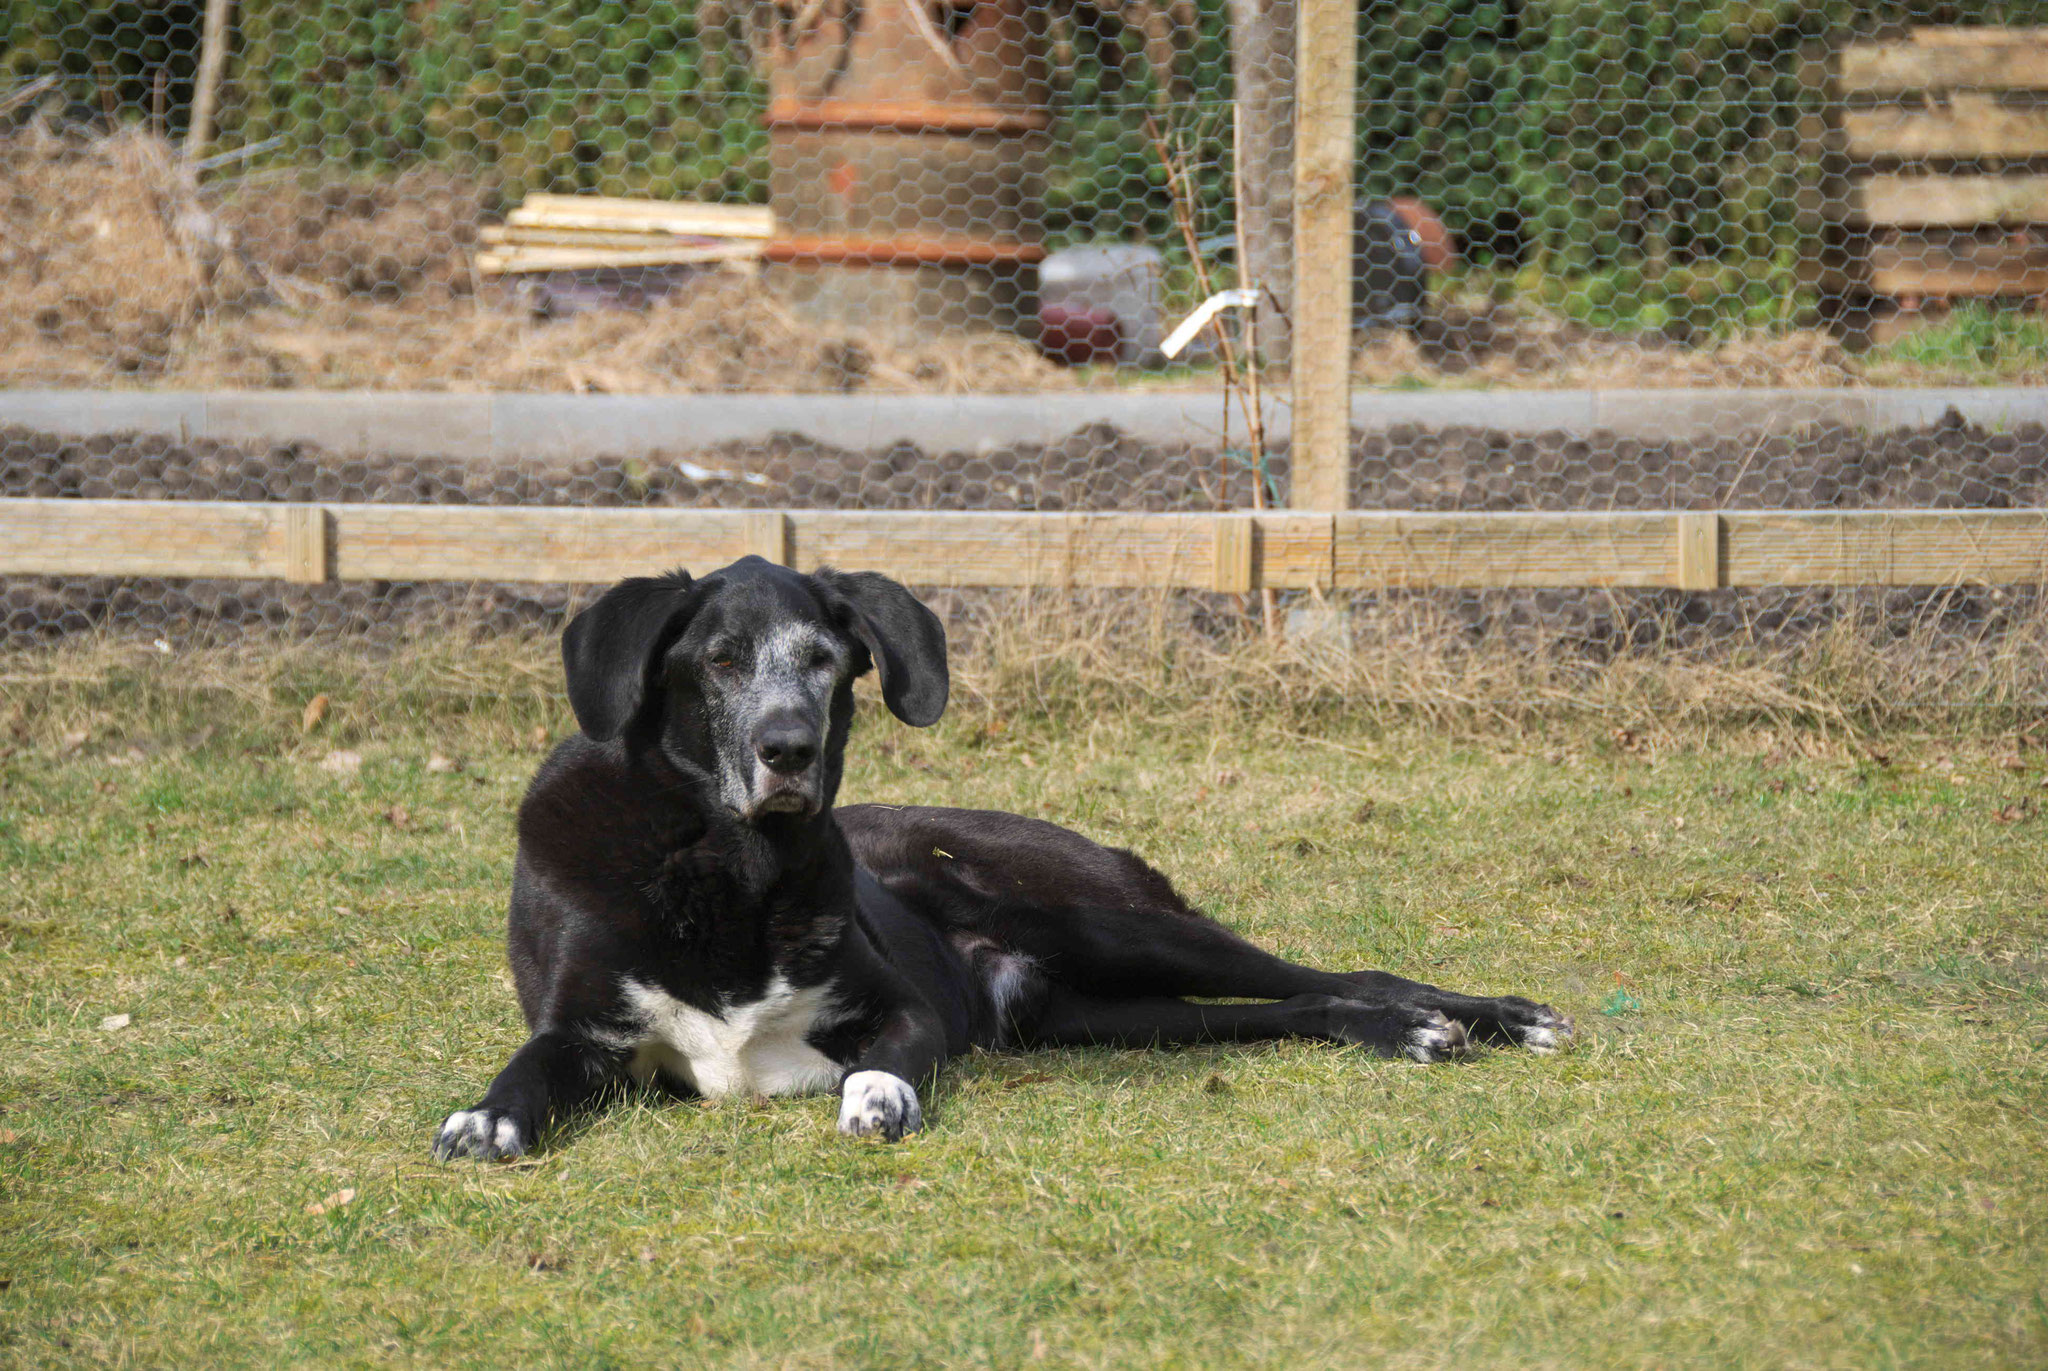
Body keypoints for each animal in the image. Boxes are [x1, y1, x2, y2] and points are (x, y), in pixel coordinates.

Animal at [432, 557, 1564, 1155]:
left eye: (827, 662)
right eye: (716, 660)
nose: (788, 748)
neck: (728, 867)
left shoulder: (906, 1009)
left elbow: (883, 1062)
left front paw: (877, 1098)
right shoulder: (581, 1030)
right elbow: (527, 1067)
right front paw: (486, 1119)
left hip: (1101, 925)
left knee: (1339, 972)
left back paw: (1481, 1017)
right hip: (1101, 1016)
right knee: (1293, 1009)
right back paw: (1404, 1033)